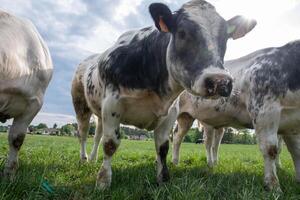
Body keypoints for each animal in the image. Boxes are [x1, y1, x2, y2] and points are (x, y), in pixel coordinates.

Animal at [71, 0, 255, 188]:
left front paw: (163, 178)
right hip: (81, 105)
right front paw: (103, 181)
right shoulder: (112, 105)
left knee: (97, 136)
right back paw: (84, 159)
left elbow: (162, 147)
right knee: (83, 133)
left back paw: (92, 158)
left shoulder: (170, 113)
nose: (220, 81)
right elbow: (110, 144)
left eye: (226, 37)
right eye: (182, 33)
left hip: (100, 114)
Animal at [172, 39, 300, 191]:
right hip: (178, 115)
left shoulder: (290, 123)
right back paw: (176, 162)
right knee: (179, 138)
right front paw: (273, 185)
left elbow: (296, 151)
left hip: (193, 119)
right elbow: (270, 149)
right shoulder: (264, 111)